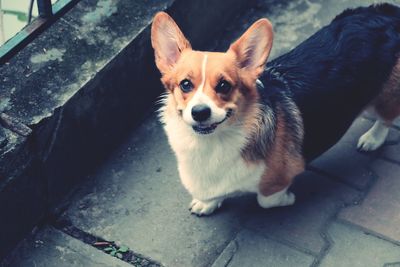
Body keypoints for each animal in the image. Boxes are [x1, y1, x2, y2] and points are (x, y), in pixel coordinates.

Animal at [150, 3, 400, 217]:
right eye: (185, 84)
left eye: (224, 85)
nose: (200, 112)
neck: (211, 144)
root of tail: (388, 12)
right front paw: (206, 203)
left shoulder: (282, 176)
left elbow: (266, 199)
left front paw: (287, 199)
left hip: (384, 98)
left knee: (386, 117)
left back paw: (372, 138)